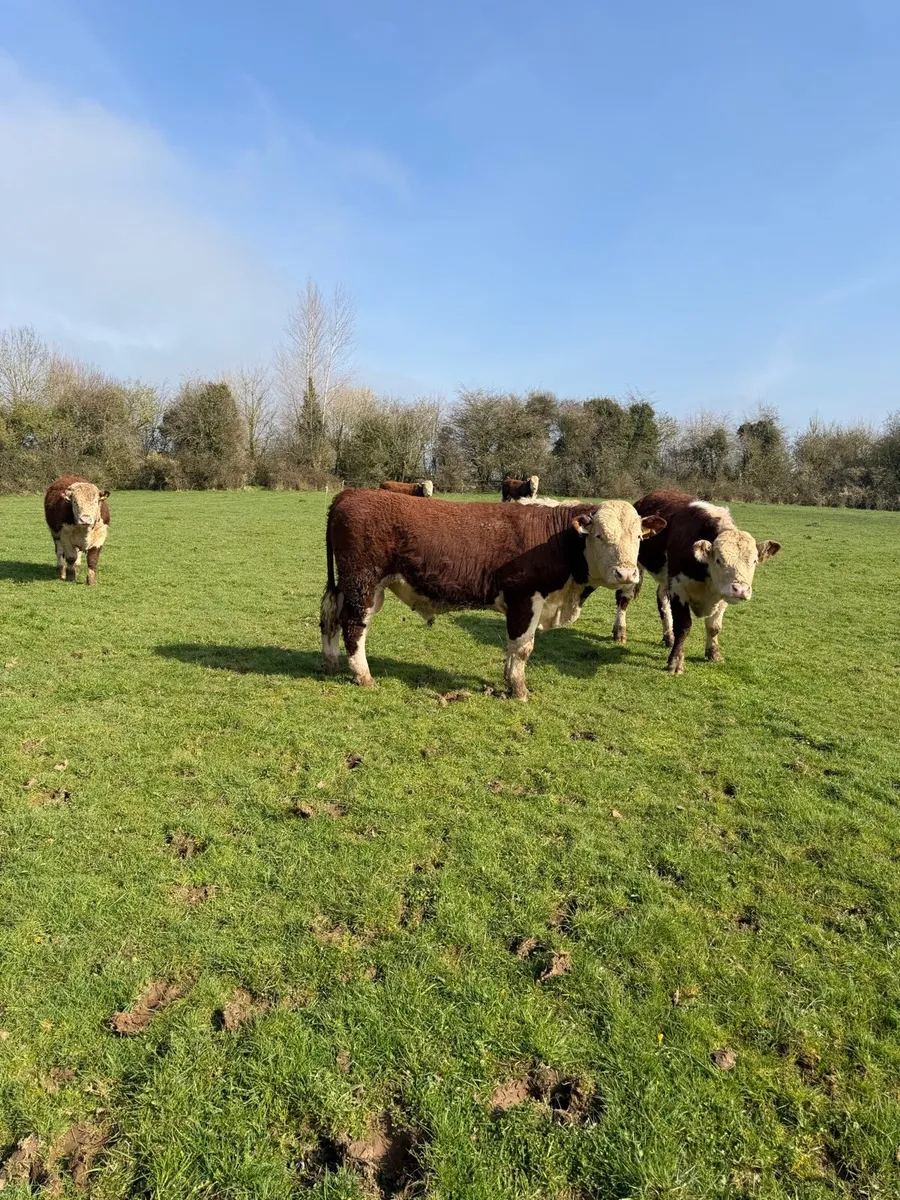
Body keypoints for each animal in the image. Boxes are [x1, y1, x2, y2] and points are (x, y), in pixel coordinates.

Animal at [320, 489, 665, 700]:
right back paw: (363, 675)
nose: (626, 574)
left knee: (330, 617)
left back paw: (331, 662)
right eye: (600, 535)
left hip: (350, 586)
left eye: (639, 537)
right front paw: (518, 689)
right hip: (364, 584)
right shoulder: (525, 599)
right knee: (354, 626)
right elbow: (522, 648)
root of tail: (351, 493)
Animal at [612, 490, 781, 674]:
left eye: (755, 561)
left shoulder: (722, 594)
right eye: (719, 560)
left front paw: (714, 654)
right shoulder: (678, 588)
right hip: (633, 567)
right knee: (624, 599)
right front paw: (675, 662)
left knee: (662, 599)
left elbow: (714, 627)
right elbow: (684, 626)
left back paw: (668, 637)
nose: (741, 590)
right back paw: (620, 632)